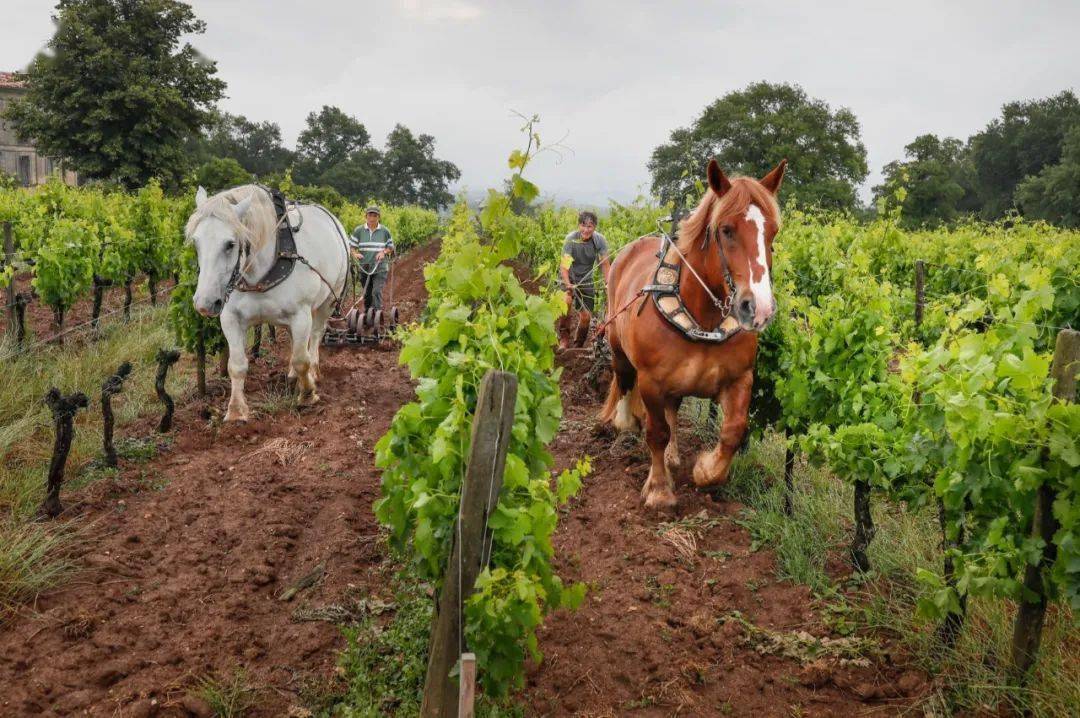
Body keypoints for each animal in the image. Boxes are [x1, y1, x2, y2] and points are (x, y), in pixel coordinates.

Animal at [185, 183, 349, 421]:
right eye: (196, 243)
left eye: (230, 244)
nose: (204, 304)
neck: (261, 275)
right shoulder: (230, 318)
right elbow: (236, 365)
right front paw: (236, 411)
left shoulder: (301, 315)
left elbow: (302, 359)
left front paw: (308, 394)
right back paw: (292, 375)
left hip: (328, 299)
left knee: (316, 335)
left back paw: (314, 372)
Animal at [600, 159, 786, 507]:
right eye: (726, 230)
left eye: (773, 232)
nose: (759, 309)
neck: (703, 321)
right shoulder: (651, 381)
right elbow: (656, 432)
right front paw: (659, 489)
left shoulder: (740, 378)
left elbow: (733, 430)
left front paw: (706, 470)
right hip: (617, 346)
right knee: (623, 379)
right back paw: (624, 421)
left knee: (673, 411)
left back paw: (673, 456)